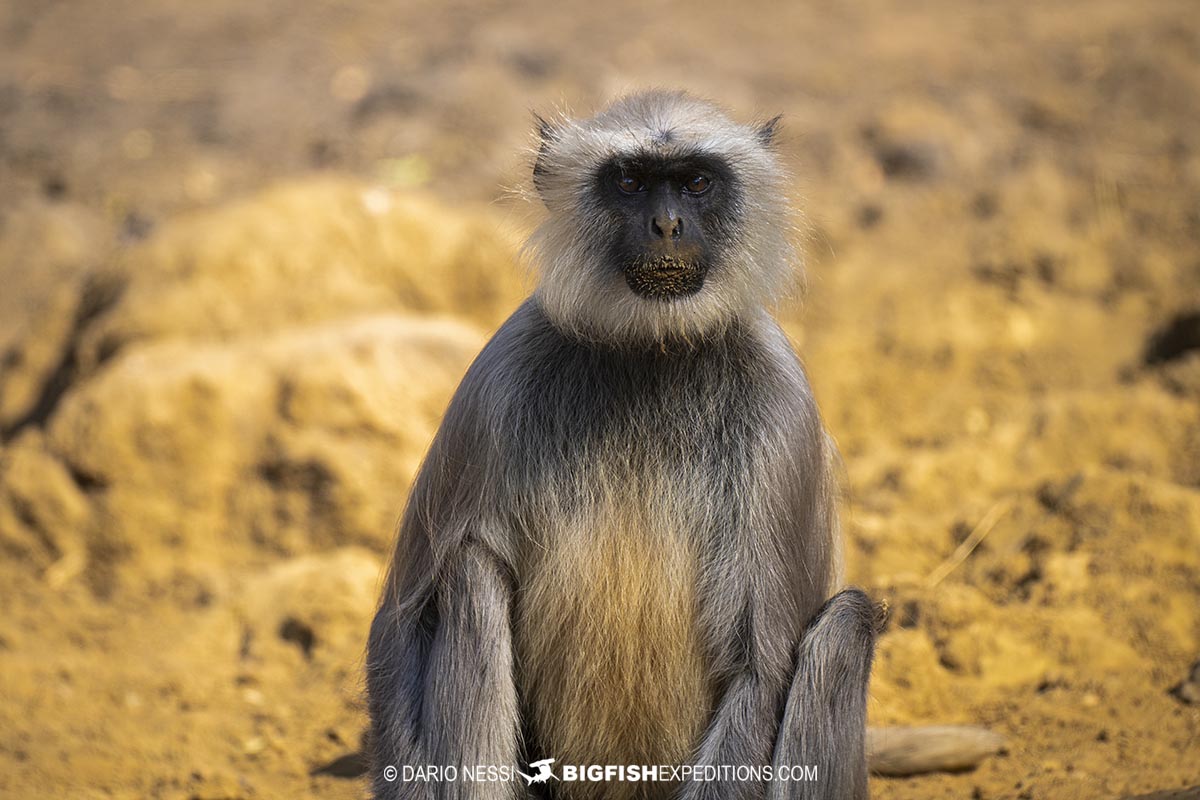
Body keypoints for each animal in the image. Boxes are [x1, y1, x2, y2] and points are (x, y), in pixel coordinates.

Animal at [367, 89, 883, 800]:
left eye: (695, 183)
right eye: (631, 181)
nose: (666, 225)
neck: (649, 351)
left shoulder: (782, 402)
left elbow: (763, 669)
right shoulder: (501, 370)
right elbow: (400, 621)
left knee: (845, 625)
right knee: (468, 567)